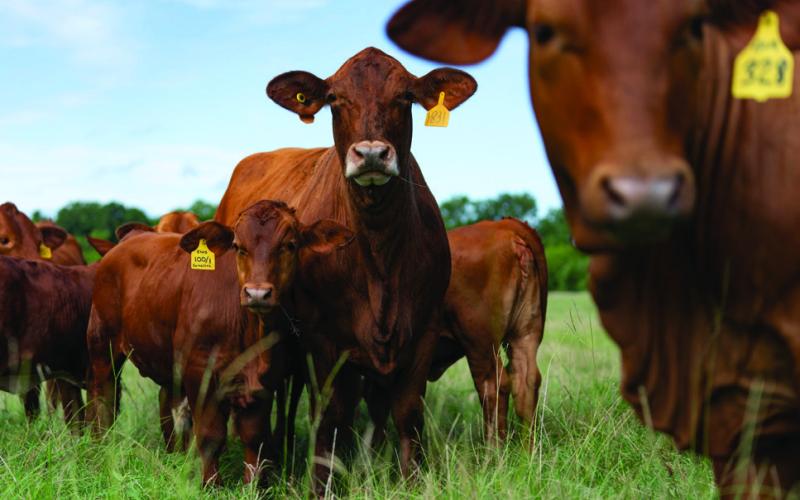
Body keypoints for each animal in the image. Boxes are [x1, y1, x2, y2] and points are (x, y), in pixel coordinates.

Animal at [86, 200, 353, 486]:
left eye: (290, 244)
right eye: (238, 246)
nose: (257, 293)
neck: (250, 331)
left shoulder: (264, 382)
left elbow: (254, 437)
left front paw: (253, 485)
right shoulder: (199, 372)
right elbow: (210, 435)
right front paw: (211, 484)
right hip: (103, 346)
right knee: (102, 397)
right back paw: (100, 446)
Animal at [214, 47, 476, 491]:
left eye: (405, 96)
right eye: (335, 99)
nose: (370, 154)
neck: (378, 253)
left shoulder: (422, 332)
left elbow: (408, 414)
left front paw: (408, 481)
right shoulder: (324, 342)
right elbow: (330, 418)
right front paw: (321, 486)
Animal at [426, 218, 547, 445]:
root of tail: (503, 226)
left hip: (479, 342)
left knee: (494, 387)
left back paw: (493, 451)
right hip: (525, 333)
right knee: (526, 381)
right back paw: (527, 450)